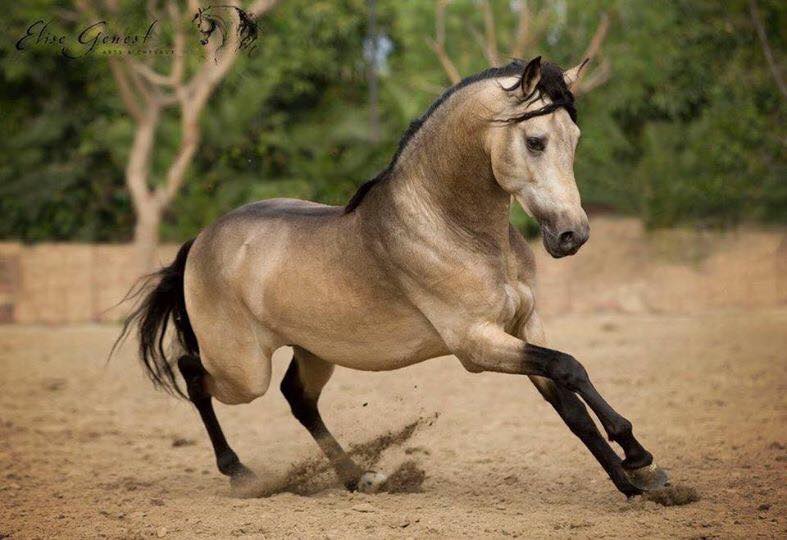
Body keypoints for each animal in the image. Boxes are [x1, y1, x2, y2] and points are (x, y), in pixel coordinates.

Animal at [118, 58, 672, 498]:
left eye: (574, 140)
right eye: (536, 141)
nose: (572, 235)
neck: (453, 228)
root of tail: (201, 241)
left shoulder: (523, 328)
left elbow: (570, 401)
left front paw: (638, 480)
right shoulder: (476, 344)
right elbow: (569, 367)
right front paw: (637, 460)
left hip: (313, 351)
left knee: (298, 399)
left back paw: (357, 477)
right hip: (242, 369)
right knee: (193, 374)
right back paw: (240, 472)